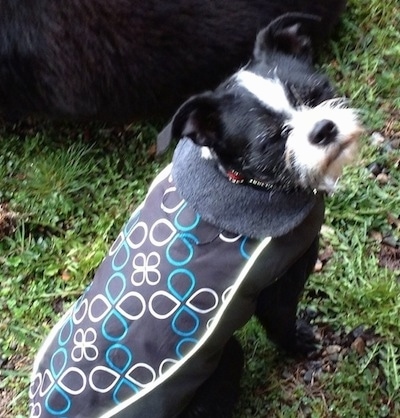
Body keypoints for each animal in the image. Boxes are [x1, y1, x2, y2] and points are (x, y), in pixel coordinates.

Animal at [28, 11, 360, 418]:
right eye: (271, 141)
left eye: (318, 93)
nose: (323, 128)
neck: (239, 180)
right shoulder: (281, 282)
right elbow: (281, 321)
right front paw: (300, 342)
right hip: (226, 362)